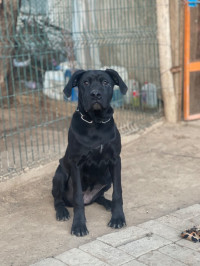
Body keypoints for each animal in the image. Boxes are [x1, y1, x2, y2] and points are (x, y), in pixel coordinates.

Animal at [52, 68, 127, 237]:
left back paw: (107, 203)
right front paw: (79, 225)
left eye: (105, 82)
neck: (96, 122)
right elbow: (78, 198)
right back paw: (62, 212)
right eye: (85, 82)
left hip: (107, 177)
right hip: (60, 173)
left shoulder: (115, 161)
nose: (95, 94)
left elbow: (118, 192)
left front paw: (117, 217)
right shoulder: (76, 164)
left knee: (99, 197)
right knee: (57, 198)